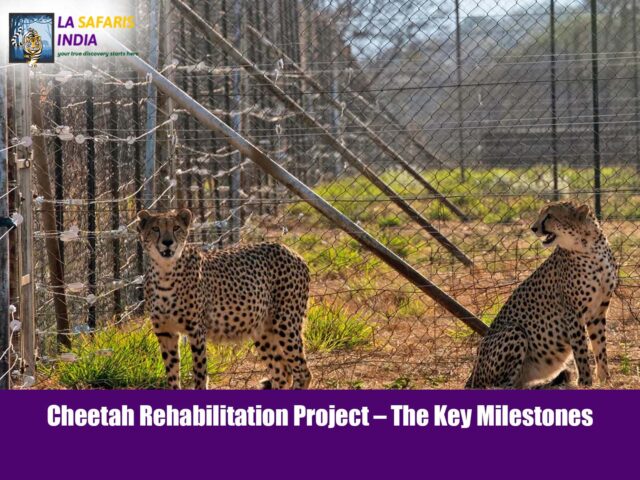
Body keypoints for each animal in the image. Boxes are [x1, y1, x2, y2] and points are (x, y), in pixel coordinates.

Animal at [137, 208, 312, 390]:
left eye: (176, 227)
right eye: (155, 228)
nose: (167, 242)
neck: (165, 272)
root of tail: (290, 250)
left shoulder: (196, 330)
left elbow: (200, 372)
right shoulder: (165, 332)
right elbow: (172, 374)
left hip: (286, 323)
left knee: (303, 372)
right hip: (263, 329)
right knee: (282, 371)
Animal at [465, 201, 618, 389]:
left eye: (550, 216)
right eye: (541, 214)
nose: (533, 228)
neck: (590, 248)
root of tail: (472, 375)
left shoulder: (598, 311)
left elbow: (600, 347)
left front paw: (605, 380)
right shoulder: (573, 313)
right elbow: (581, 351)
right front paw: (585, 382)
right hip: (515, 331)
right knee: (500, 386)